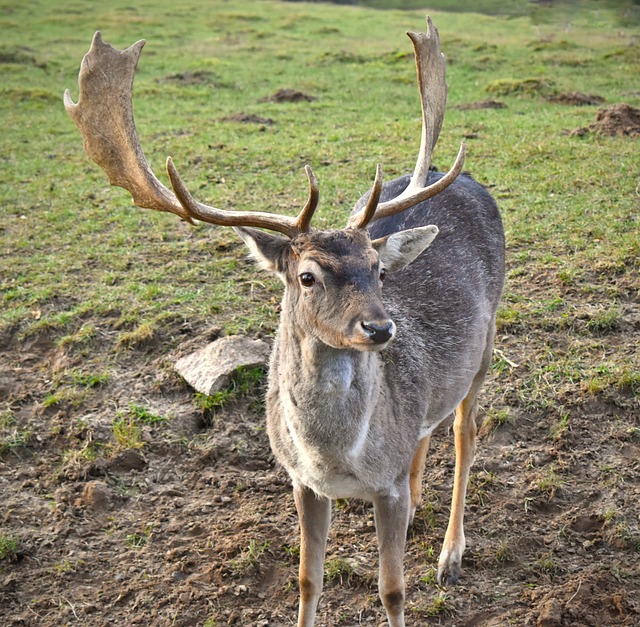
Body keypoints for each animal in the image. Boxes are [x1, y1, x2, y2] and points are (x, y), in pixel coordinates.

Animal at [65, 17, 504, 624]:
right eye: (307, 276)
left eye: (378, 271)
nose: (380, 329)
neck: (336, 459)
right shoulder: (302, 482)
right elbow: (306, 580)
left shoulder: (383, 486)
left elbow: (392, 589)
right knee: (427, 430)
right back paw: (421, 507)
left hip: (486, 344)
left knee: (465, 431)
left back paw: (451, 555)